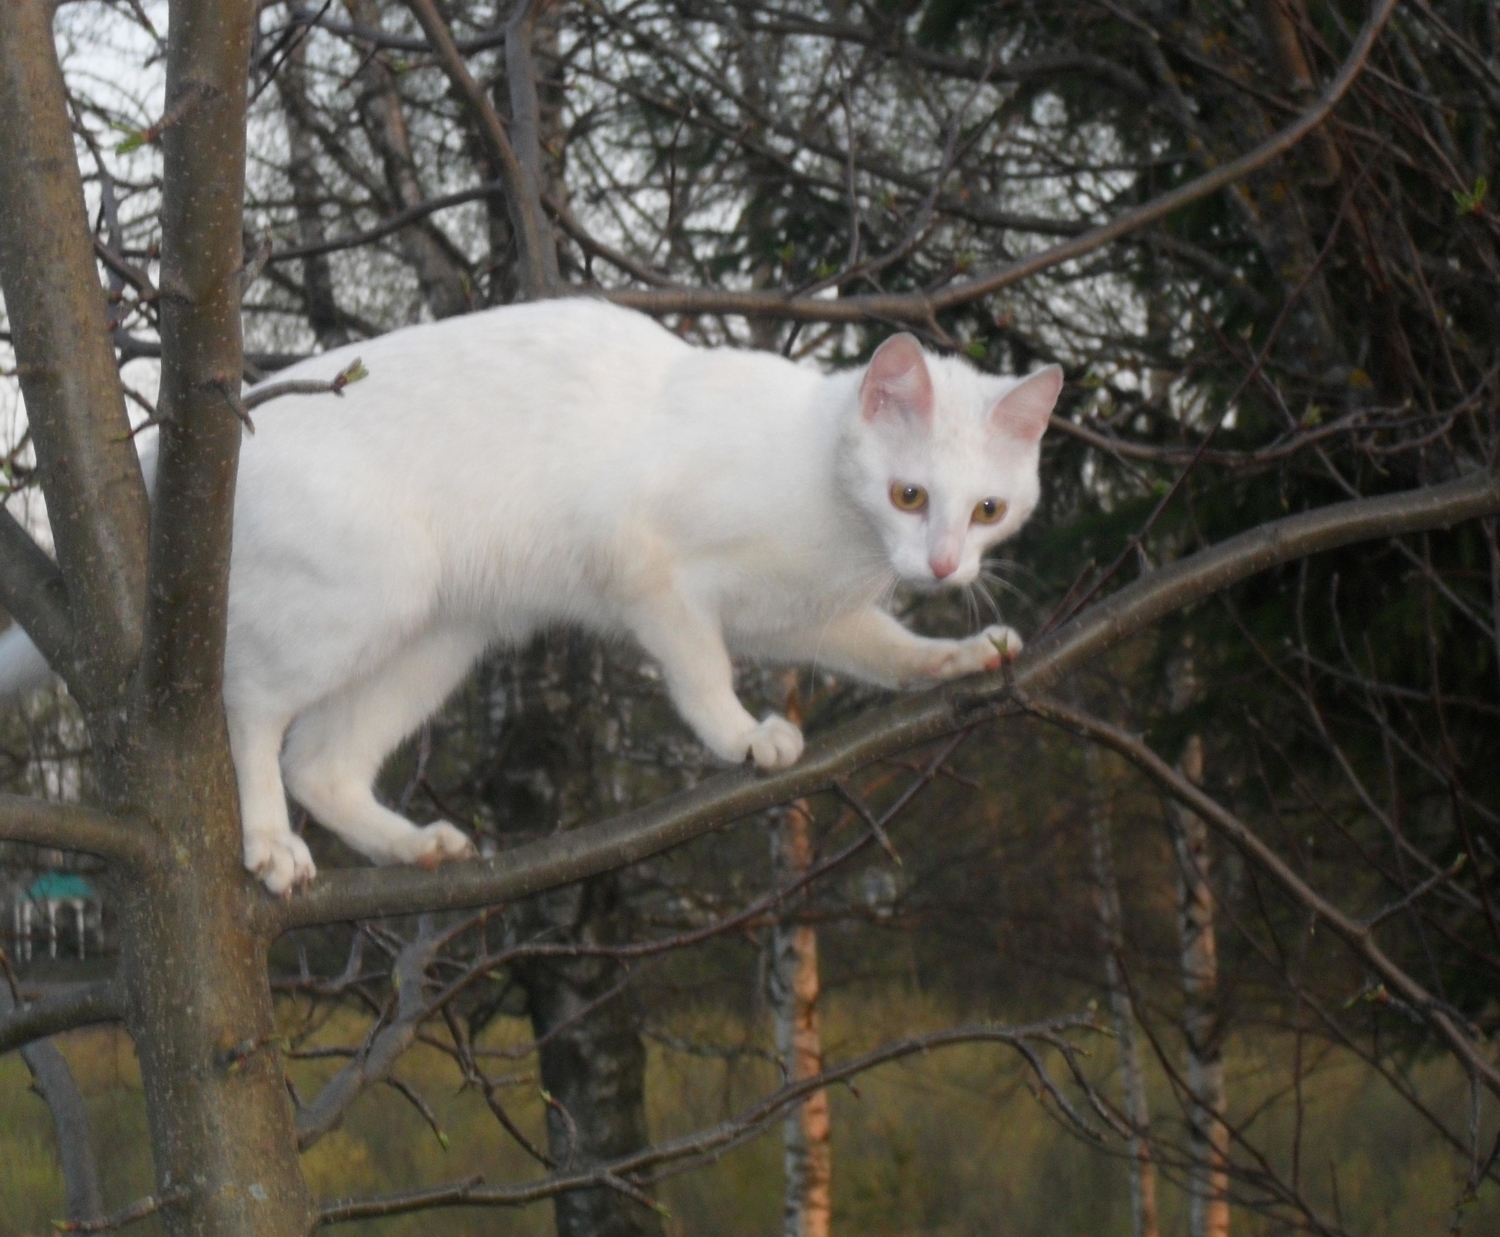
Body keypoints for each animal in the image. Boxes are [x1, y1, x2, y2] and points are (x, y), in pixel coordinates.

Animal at [0, 298, 1056, 887]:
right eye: (909, 494)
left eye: (989, 509)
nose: (944, 567)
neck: (838, 525)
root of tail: (169, 455)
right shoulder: (646, 567)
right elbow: (702, 672)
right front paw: (745, 737)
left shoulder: (812, 616)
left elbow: (891, 652)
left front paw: (963, 654)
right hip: (363, 600)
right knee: (251, 709)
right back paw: (269, 848)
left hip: (437, 637)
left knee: (320, 761)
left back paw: (411, 848)